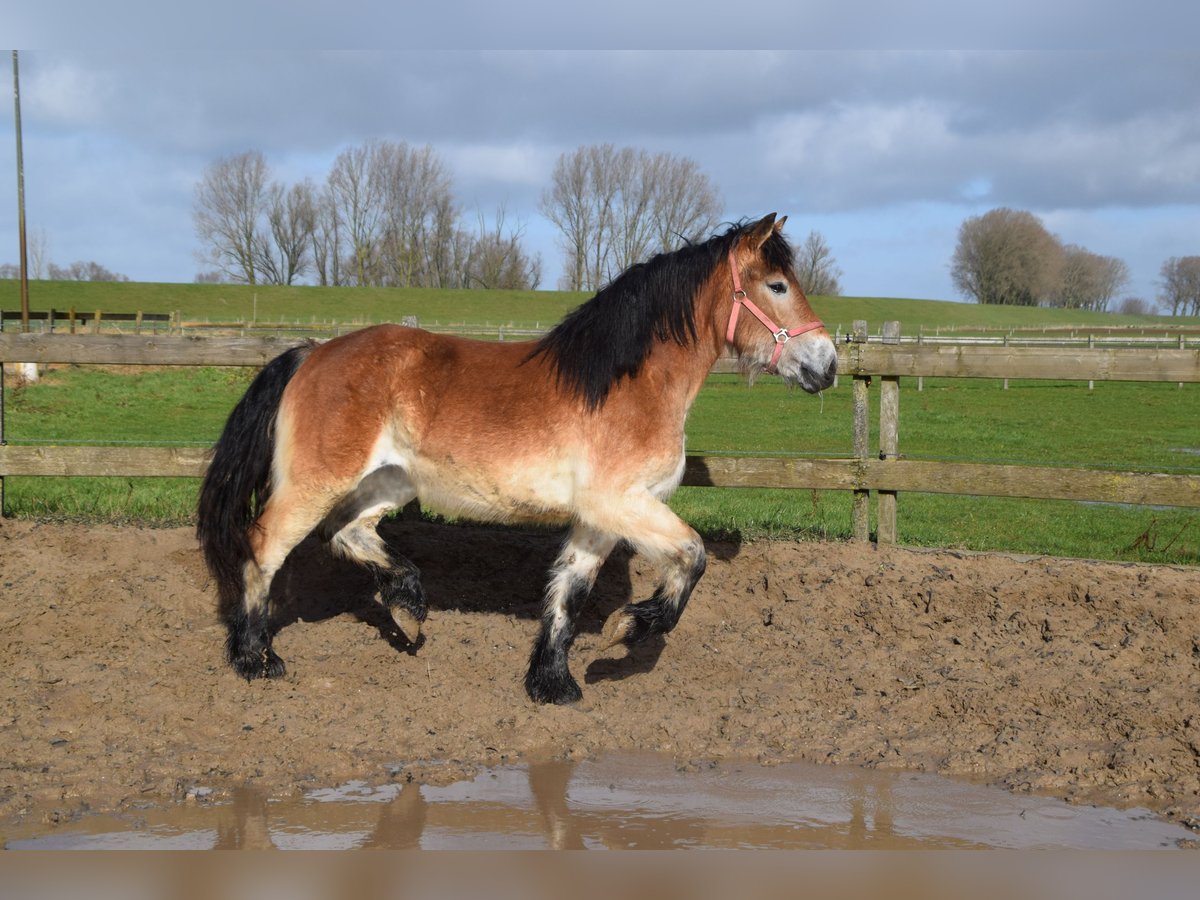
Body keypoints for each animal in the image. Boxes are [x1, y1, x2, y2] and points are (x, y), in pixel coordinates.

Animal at [196, 213, 837, 705]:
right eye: (777, 285)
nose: (827, 365)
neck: (629, 383)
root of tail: (311, 353)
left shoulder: (600, 516)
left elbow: (568, 592)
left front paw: (553, 684)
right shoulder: (621, 502)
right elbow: (693, 556)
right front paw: (625, 629)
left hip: (390, 481)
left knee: (345, 532)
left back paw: (408, 606)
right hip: (317, 481)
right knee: (264, 546)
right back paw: (256, 659)